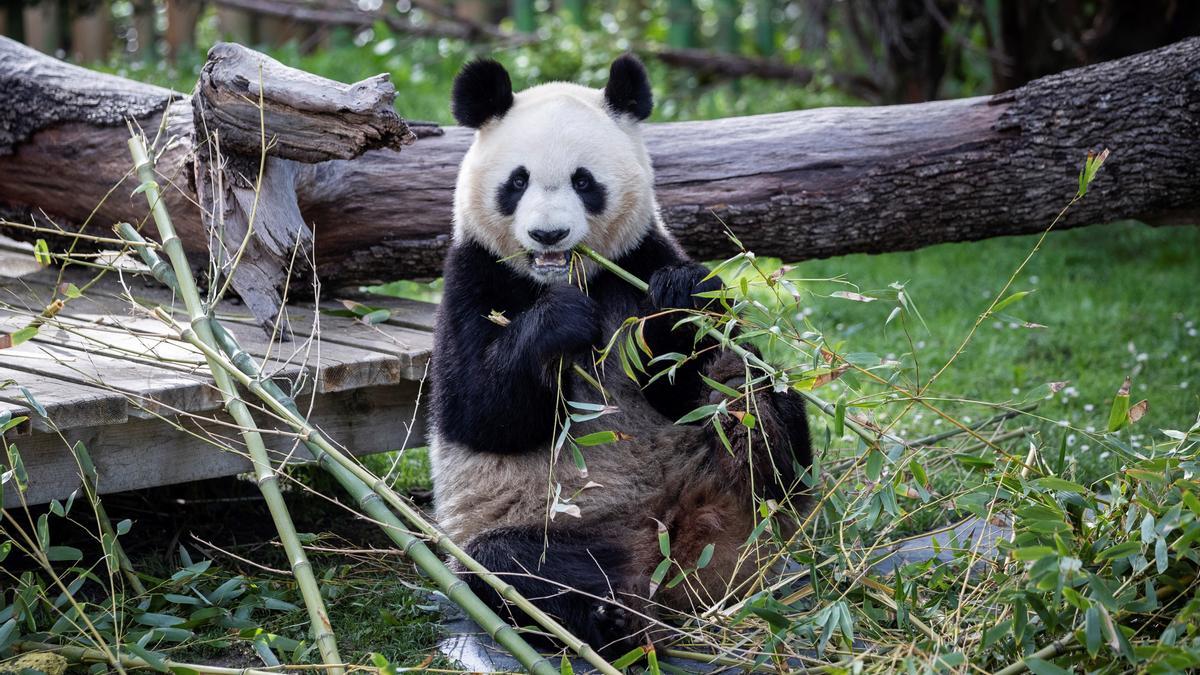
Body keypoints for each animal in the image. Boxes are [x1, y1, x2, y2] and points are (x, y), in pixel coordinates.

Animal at [427, 55, 811, 653]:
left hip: (740, 494)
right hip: (557, 526)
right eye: (518, 181)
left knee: (760, 406)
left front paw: (679, 299)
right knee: (513, 567)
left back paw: (755, 431)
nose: (549, 234)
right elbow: (480, 411)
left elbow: (680, 384)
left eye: (584, 181)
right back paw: (612, 618)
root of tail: (679, 552)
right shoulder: (474, 275)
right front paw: (559, 323)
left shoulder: (640, 257)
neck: (570, 276)